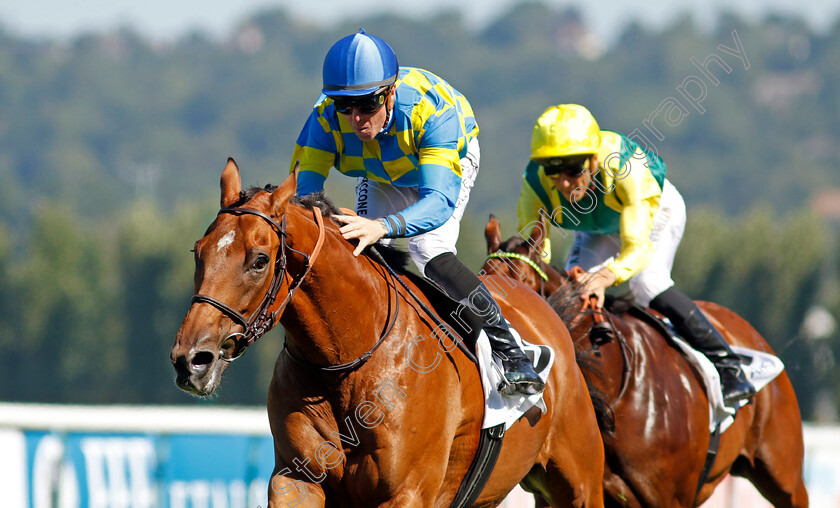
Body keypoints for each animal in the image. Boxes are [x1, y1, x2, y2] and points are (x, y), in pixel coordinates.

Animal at [171, 160, 608, 508]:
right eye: (198, 251)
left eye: (259, 260)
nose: (191, 360)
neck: (346, 362)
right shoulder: (294, 480)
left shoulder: (407, 492)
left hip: (581, 482)